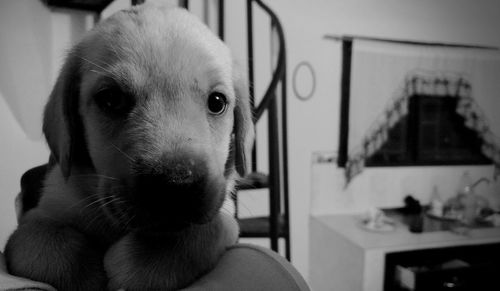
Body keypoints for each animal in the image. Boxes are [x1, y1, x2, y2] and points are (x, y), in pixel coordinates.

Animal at [4, 2, 254, 291]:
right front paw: (88, 274)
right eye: (111, 99)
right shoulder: (37, 219)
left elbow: (202, 232)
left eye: (217, 102)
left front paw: (135, 264)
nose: (176, 186)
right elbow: (48, 248)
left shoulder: (225, 216)